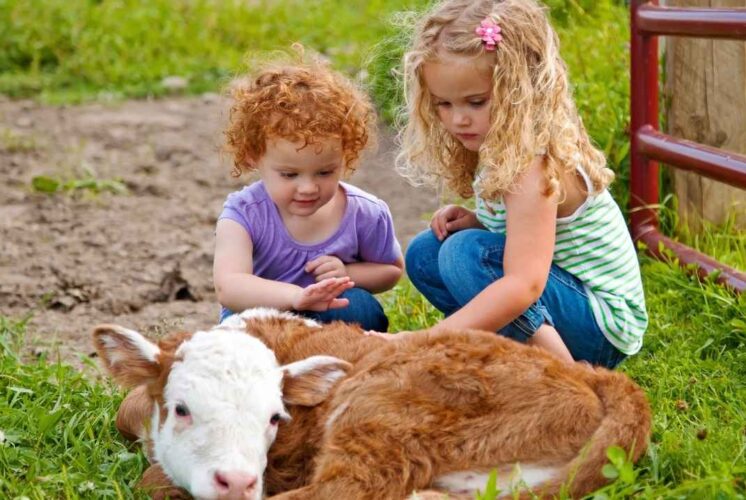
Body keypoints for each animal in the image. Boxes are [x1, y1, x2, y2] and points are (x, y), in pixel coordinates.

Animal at [93, 308, 651, 499]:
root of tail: (590, 375)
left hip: (380, 408)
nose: (238, 482)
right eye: (182, 408)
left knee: (346, 489)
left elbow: (150, 482)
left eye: (274, 418)